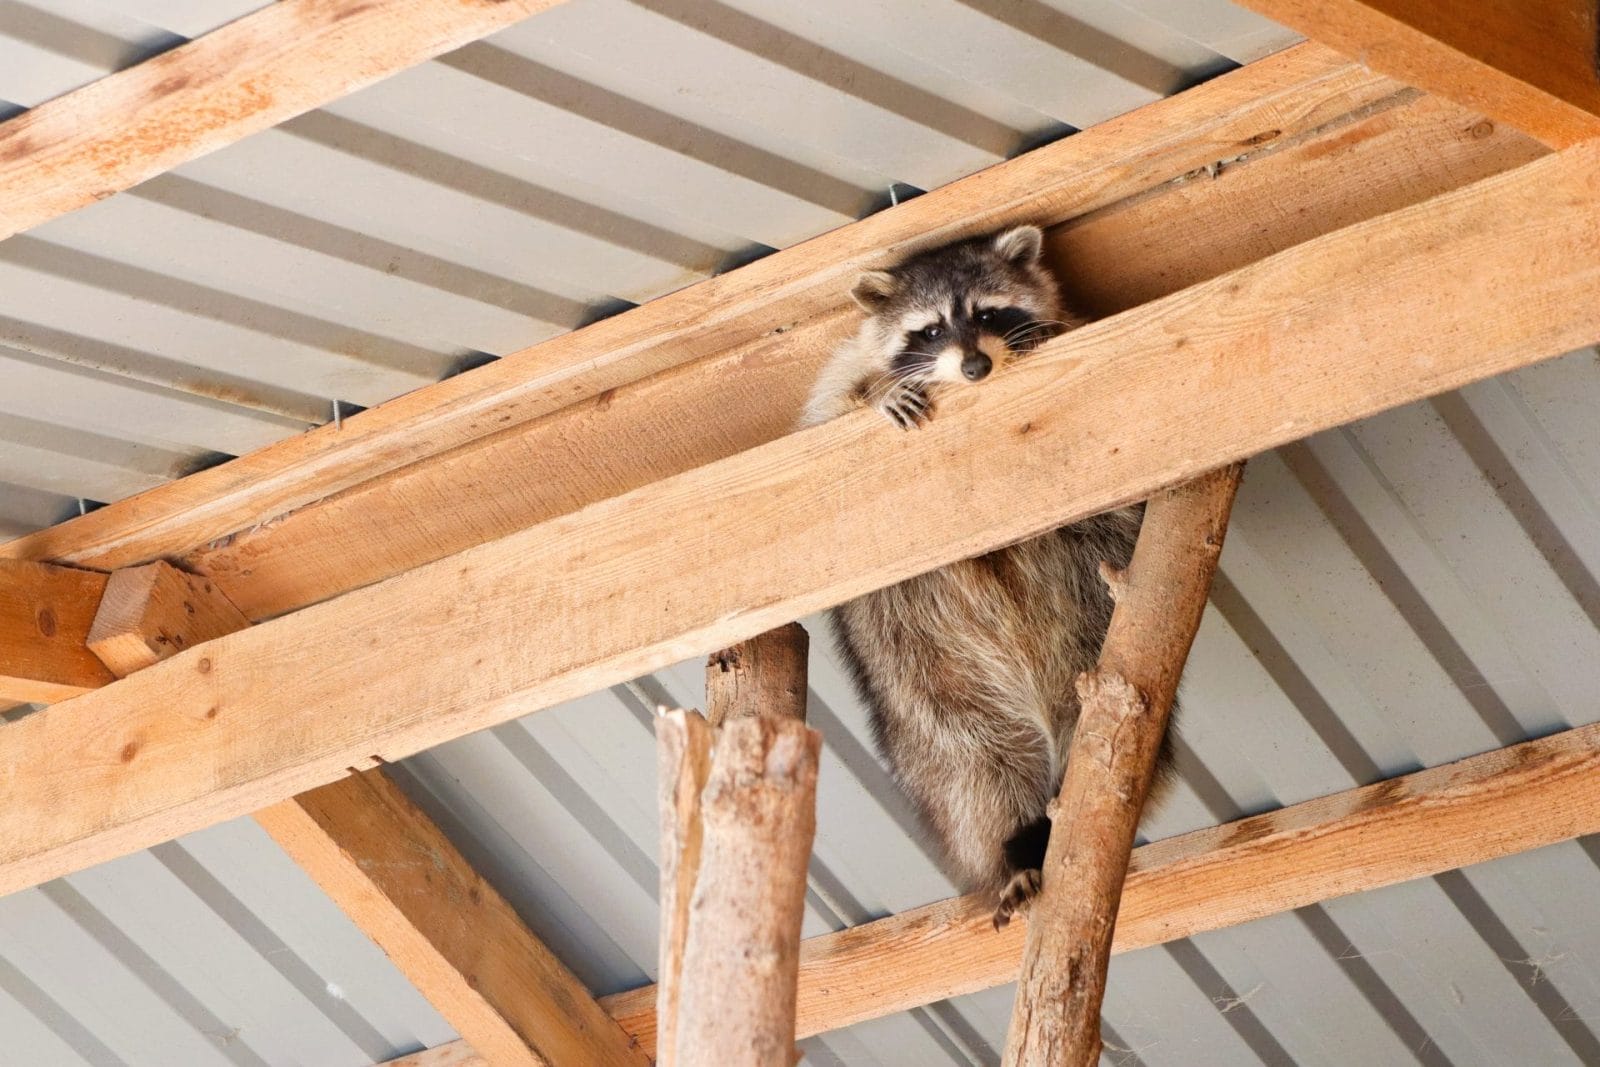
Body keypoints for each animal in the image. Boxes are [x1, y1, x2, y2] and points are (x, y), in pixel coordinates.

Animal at [800, 225, 1172, 927]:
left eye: (988, 314)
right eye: (928, 329)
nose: (975, 368)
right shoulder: (831, 386)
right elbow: (828, 409)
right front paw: (874, 394)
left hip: (1086, 647)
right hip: (922, 699)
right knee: (972, 776)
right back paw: (1007, 854)